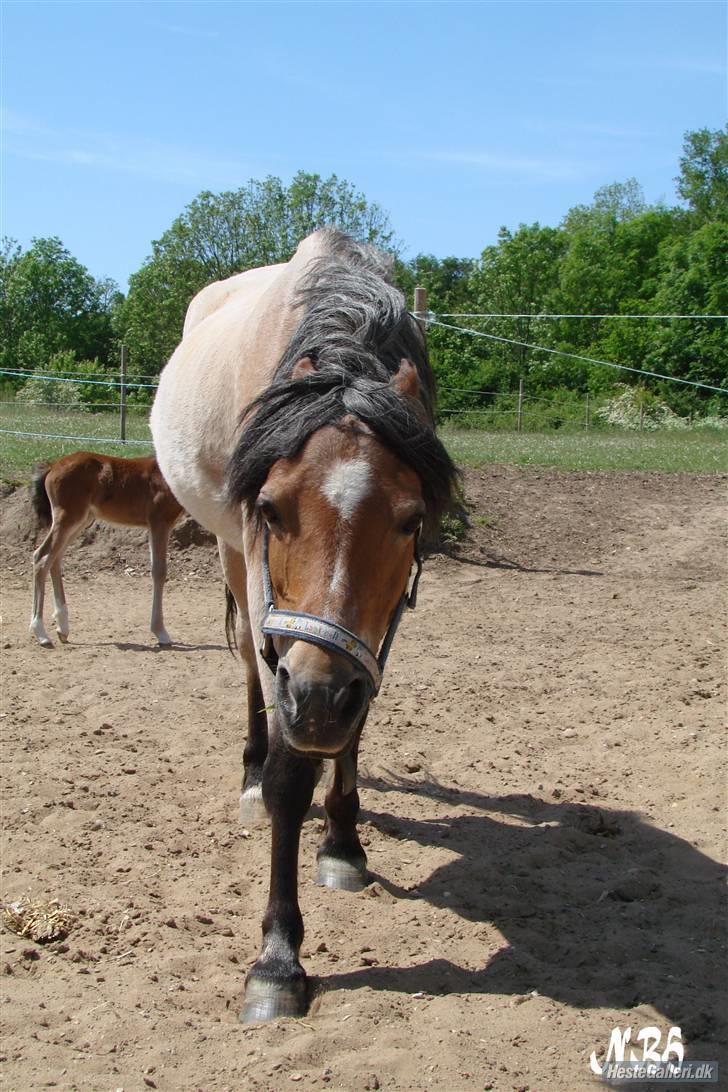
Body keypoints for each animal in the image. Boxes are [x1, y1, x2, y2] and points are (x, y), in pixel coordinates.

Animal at [29, 452, 184, 648]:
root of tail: (52, 467)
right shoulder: (159, 522)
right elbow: (159, 571)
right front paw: (161, 633)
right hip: (67, 517)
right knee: (42, 557)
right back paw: (41, 633)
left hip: (81, 520)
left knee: (55, 558)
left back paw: (62, 628)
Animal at [150, 229, 458, 1022]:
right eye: (272, 507)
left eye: (410, 520)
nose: (315, 699)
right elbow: (292, 773)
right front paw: (278, 959)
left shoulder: (363, 641)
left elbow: (353, 722)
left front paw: (343, 841)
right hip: (230, 558)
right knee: (247, 666)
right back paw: (251, 772)